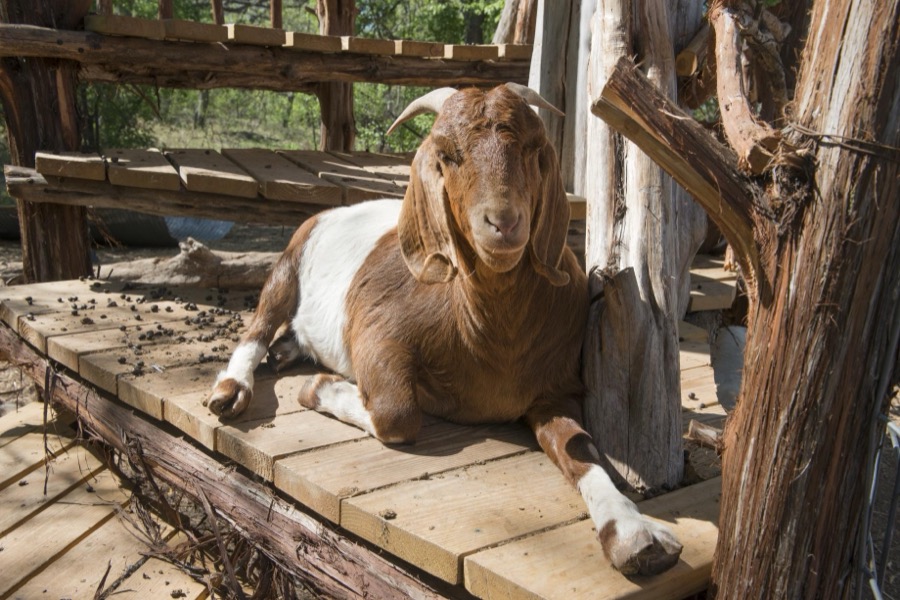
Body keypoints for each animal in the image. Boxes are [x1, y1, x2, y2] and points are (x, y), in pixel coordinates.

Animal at [207, 84, 682, 575]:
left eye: (533, 149)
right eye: (447, 154)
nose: (503, 222)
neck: (489, 335)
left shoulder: (556, 388)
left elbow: (581, 446)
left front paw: (633, 534)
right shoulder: (377, 331)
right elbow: (397, 414)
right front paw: (317, 388)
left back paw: (286, 352)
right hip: (291, 257)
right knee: (259, 323)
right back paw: (232, 389)